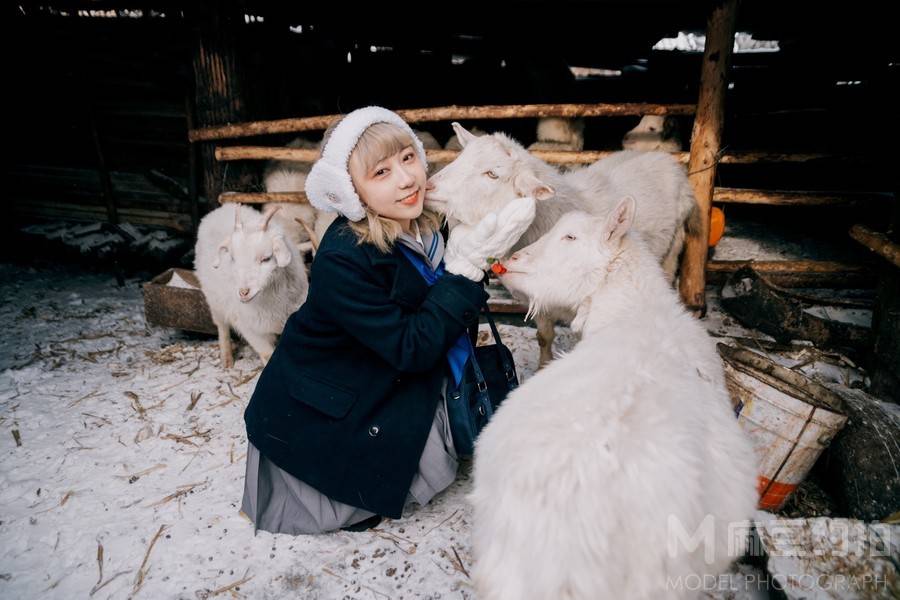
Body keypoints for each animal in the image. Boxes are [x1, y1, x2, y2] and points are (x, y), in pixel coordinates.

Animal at [194, 204, 310, 368]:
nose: (243, 292)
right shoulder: (251, 330)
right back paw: (227, 359)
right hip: (215, 303)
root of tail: (220, 209)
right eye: (232, 258)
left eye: (266, 258)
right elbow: (267, 355)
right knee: (222, 326)